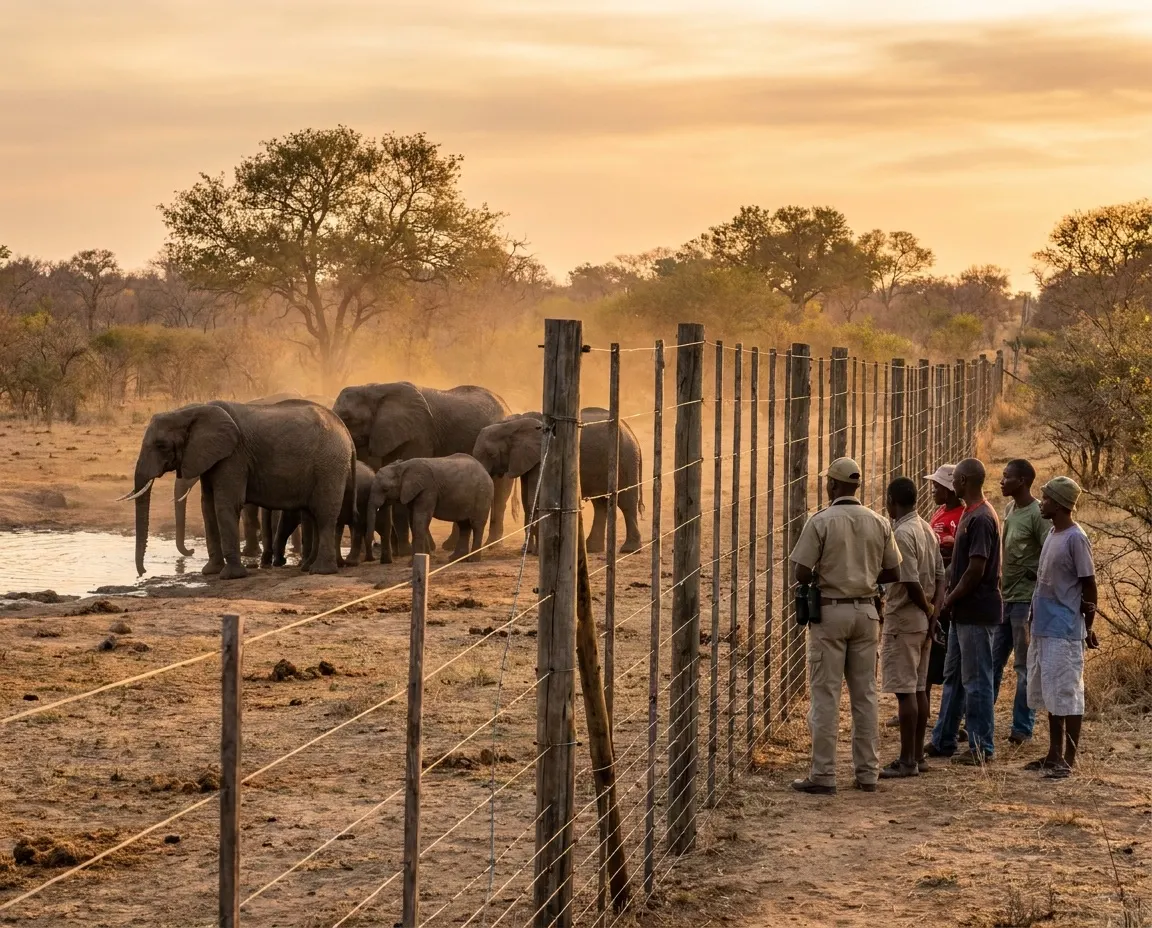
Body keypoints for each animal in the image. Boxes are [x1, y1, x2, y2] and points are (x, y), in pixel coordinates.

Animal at [122, 399, 355, 579]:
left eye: (161, 445)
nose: (142, 573)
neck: (192, 411)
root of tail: (345, 431)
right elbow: (208, 507)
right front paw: (210, 571)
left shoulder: (233, 456)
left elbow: (225, 505)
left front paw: (230, 576)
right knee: (312, 515)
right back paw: (308, 568)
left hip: (329, 464)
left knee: (324, 514)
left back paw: (321, 571)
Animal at [366, 455, 494, 564]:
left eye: (385, 489)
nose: (375, 544)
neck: (401, 467)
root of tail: (485, 470)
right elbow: (414, 521)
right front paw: (424, 558)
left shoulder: (428, 490)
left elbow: (420, 519)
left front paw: (413, 563)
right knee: (464, 526)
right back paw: (456, 559)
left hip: (483, 494)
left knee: (476, 525)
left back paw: (473, 560)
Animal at [471, 407, 644, 555]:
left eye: (492, 454)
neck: (513, 423)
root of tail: (632, 433)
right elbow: (527, 499)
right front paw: (527, 550)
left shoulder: (543, 456)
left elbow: (535, 499)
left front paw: (536, 552)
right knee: (600, 504)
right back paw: (592, 548)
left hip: (625, 458)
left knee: (626, 502)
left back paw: (629, 550)